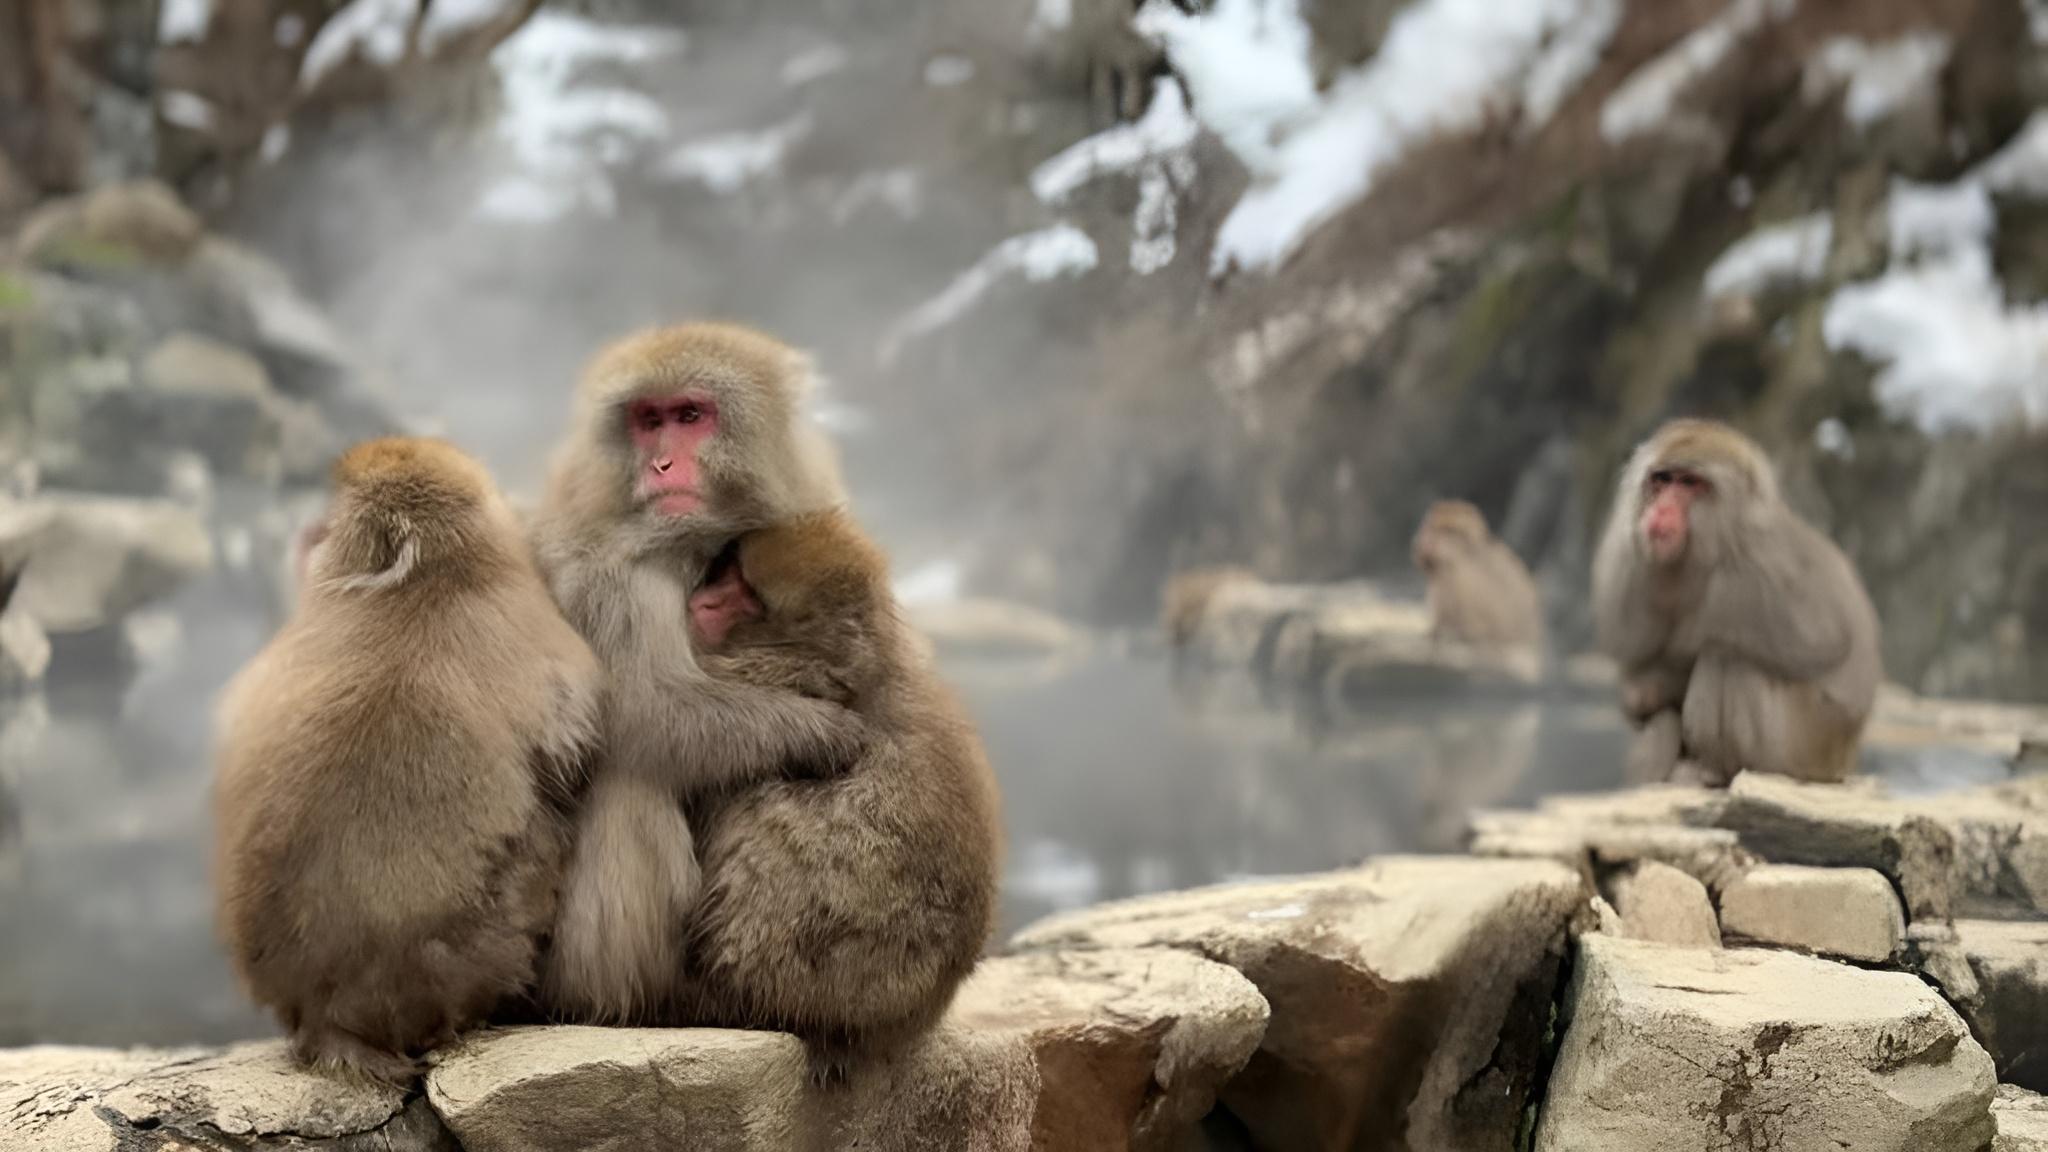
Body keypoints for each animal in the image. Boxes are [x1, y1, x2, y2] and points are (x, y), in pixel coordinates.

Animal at [528, 322, 873, 1025]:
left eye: (690, 416)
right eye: (647, 420)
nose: (660, 465)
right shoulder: (605, 574)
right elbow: (640, 712)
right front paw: (822, 730)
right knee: (633, 778)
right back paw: (624, 1003)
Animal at [1591, 419, 1882, 786]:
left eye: (1689, 483)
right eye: (1662, 479)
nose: (1661, 510)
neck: (1717, 540)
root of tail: (1843, 761)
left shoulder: (1755, 573)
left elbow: (1819, 641)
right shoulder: (1633, 561)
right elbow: (1639, 659)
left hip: (1801, 748)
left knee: (1729, 657)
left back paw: (1716, 769)